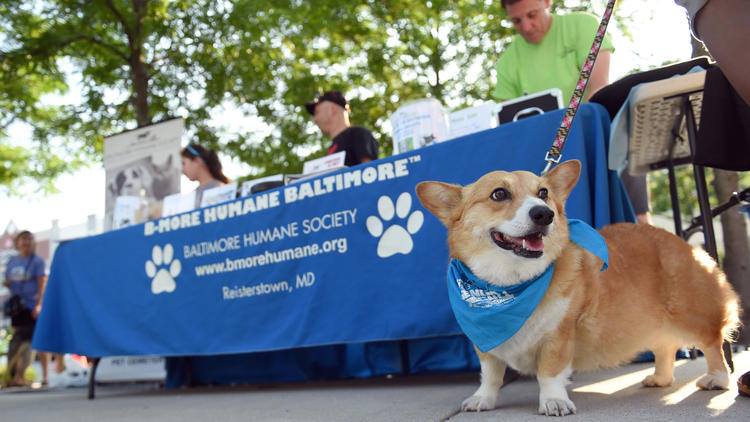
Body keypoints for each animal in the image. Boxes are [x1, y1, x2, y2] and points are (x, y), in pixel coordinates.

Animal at [418, 161, 740, 416]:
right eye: (499, 193)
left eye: (543, 193)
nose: (544, 214)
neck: (508, 287)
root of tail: (683, 242)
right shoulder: (486, 346)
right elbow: (491, 375)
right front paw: (482, 399)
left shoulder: (558, 336)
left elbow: (549, 372)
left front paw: (554, 402)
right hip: (653, 322)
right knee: (665, 346)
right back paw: (660, 378)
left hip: (690, 315)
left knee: (712, 344)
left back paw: (717, 379)